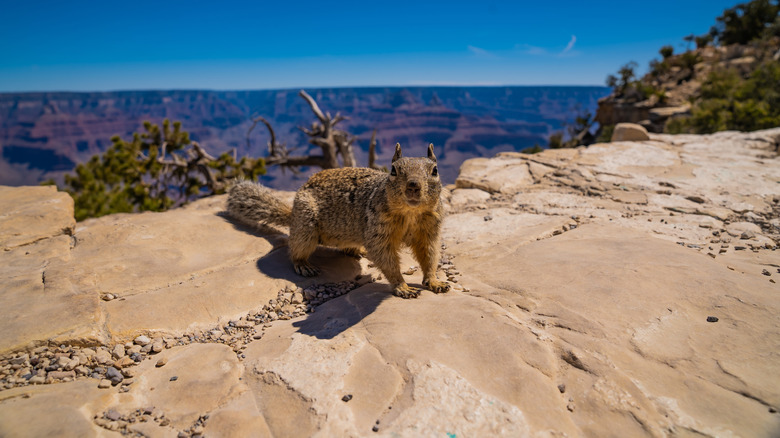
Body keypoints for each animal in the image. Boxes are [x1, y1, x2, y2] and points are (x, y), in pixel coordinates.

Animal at [227, 143, 450, 299]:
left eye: (435, 171)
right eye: (393, 170)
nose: (413, 185)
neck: (411, 213)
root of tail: (292, 213)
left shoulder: (430, 231)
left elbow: (430, 256)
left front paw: (435, 282)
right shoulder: (379, 233)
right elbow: (387, 259)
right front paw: (403, 287)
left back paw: (358, 250)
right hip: (305, 227)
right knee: (295, 250)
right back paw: (304, 265)